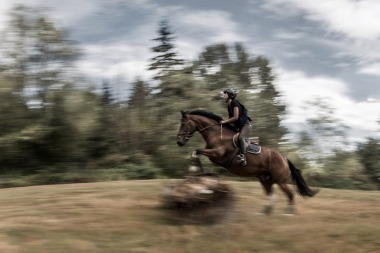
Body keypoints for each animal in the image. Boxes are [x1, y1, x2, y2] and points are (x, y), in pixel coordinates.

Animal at [177, 109, 320, 215]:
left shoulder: (217, 154)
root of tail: (284, 158)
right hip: (265, 178)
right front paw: (198, 170)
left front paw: (194, 169)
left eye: (184, 124)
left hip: (280, 180)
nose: (179, 142)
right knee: (271, 195)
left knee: (289, 194)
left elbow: (196, 151)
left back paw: (288, 213)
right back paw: (265, 212)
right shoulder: (213, 155)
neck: (216, 134)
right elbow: (196, 152)